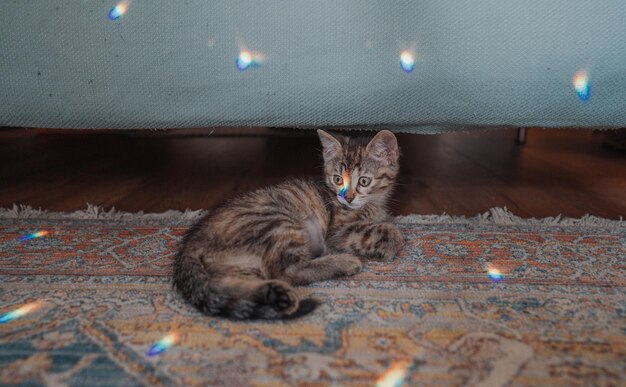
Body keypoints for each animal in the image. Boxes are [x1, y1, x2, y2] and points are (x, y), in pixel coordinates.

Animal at [173, 130, 402, 318]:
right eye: (338, 179)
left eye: (364, 181)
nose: (348, 198)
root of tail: (192, 240)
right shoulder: (337, 231)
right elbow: (387, 230)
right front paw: (391, 241)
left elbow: (383, 221)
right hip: (278, 223)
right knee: (288, 270)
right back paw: (343, 263)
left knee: (222, 284)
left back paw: (274, 293)